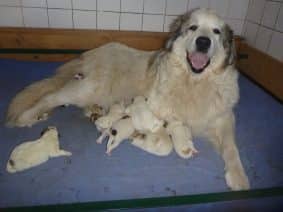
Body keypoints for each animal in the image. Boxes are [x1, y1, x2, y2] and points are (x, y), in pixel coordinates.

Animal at [5, 8, 251, 190]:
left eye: (216, 32)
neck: (194, 81)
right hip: (88, 89)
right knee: (50, 96)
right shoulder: (155, 109)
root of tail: (94, 52)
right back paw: (28, 117)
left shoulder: (223, 118)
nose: (203, 42)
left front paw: (239, 177)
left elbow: (231, 147)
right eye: (193, 28)